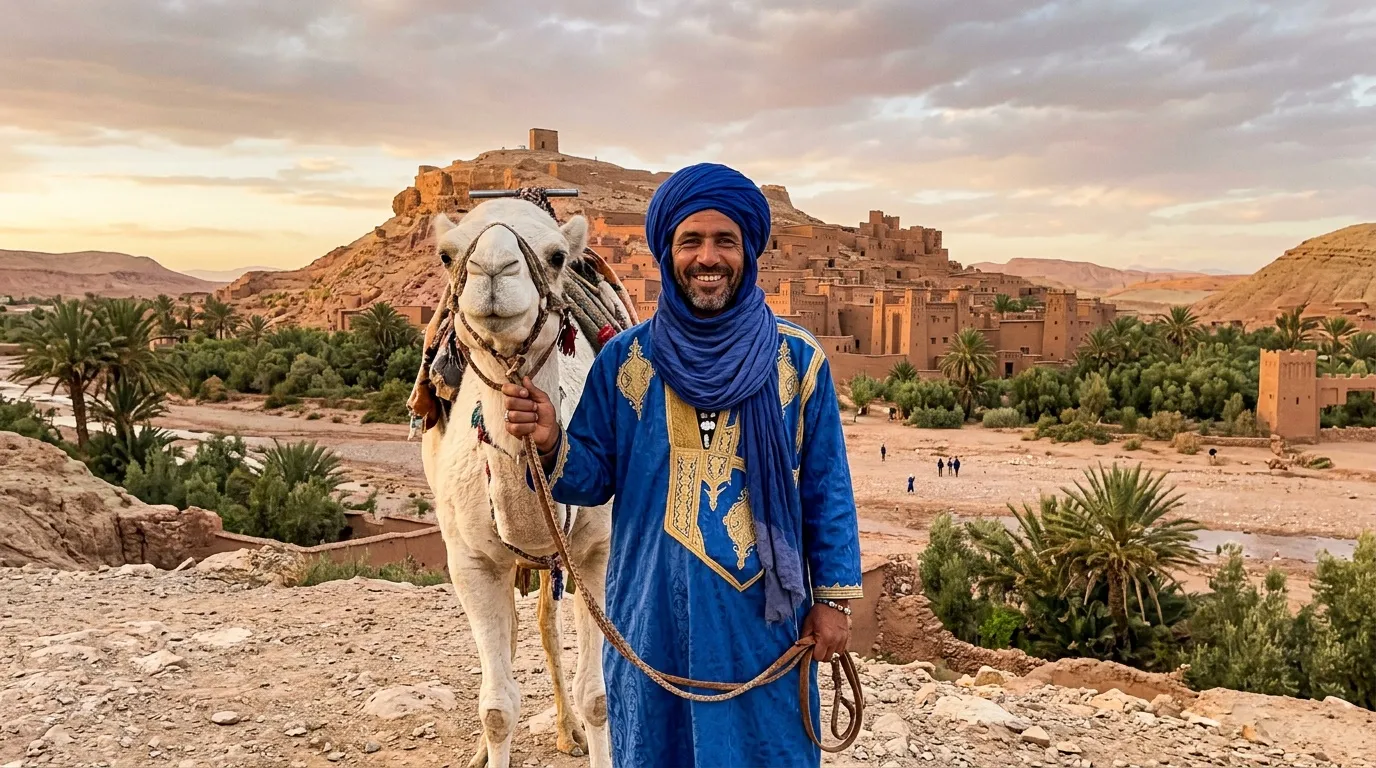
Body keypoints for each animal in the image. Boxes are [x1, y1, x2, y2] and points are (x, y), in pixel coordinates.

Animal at [421, 199, 613, 768]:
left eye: (556, 256)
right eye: (447, 255)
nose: (492, 271)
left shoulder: (595, 552)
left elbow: (597, 698)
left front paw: (585, 728)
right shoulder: (469, 559)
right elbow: (497, 707)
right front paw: (490, 745)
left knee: (548, 628)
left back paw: (568, 733)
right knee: (509, 638)